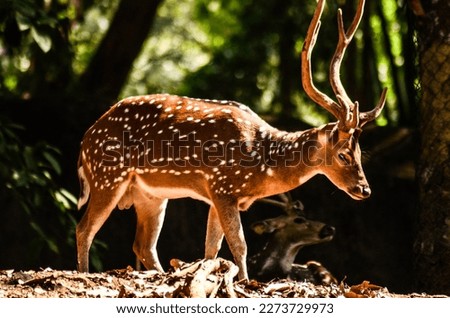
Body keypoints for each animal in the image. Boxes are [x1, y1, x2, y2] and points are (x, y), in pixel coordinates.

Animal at [75, 0, 384, 280]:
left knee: (143, 245)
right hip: (107, 176)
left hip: (151, 195)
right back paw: (85, 273)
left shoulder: (217, 194)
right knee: (84, 228)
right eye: (343, 154)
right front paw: (245, 282)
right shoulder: (222, 185)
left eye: (361, 153)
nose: (365, 190)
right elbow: (239, 243)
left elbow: (212, 248)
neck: (262, 163)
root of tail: (85, 140)